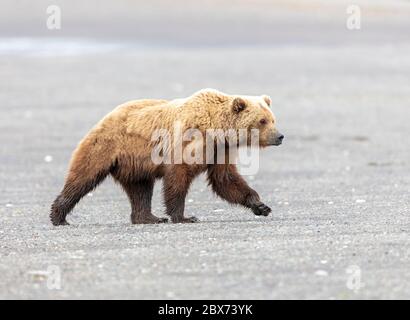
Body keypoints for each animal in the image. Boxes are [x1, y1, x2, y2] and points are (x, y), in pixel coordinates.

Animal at [49, 89, 284, 226]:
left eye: (273, 119)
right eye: (262, 120)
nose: (280, 136)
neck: (217, 127)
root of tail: (102, 119)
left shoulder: (220, 149)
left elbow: (225, 179)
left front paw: (261, 206)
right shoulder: (190, 140)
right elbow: (178, 177)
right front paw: (184, 217)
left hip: (135, 164)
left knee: (140, 190)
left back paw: (148, 218)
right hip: (106, 147)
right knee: (83, 177)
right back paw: (59, 216)